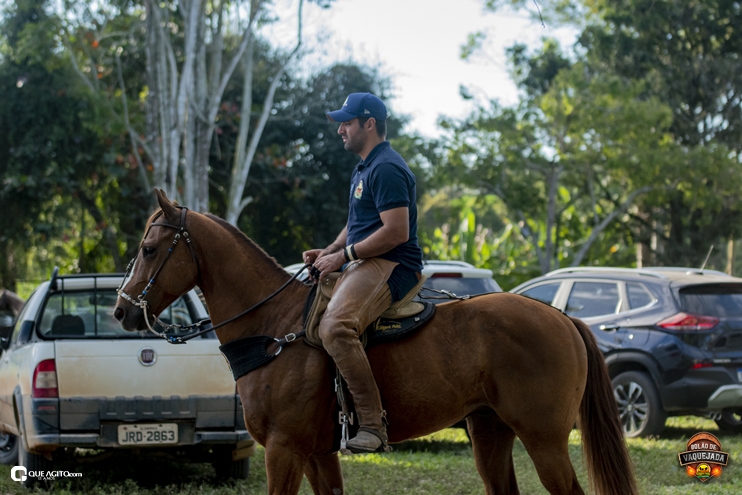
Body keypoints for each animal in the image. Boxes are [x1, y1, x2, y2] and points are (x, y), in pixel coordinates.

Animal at [113, 191, 636, 495]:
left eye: (149, 249)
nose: (121, 311)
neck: (273, 328)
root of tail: (562, 317)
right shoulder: (318, 453)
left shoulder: (284, 449)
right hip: (490, 430)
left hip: (544, 439)